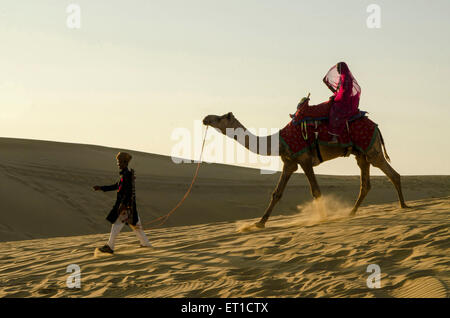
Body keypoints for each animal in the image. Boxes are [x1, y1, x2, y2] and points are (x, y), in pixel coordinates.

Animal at [202, 110, 410, 227]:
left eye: (220, 118)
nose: (205, 118)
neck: (278, 142)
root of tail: (376, 126)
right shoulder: (289, 162)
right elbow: (276, 193)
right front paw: (259, 223)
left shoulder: (304, 159)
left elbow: (316, 190)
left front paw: (323, 218)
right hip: (361, 153)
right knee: (366, 184)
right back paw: (351, 212)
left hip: (371, 149)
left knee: (393, 174)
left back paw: (403, 205)